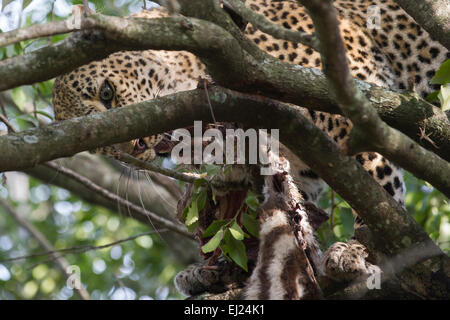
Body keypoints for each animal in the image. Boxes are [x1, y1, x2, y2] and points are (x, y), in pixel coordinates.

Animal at [51, 0, 446, 300]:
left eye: (106, 93)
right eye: (102, 146)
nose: (139, 146)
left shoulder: (357, 119)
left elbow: (377, 200)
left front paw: (356, 253)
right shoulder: (296, 167)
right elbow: (276, 216)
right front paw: (217, 272)